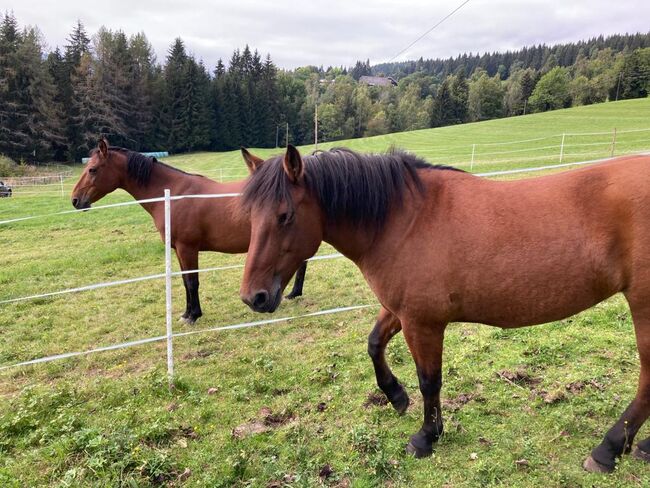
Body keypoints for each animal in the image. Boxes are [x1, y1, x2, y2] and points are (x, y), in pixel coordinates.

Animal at [69, 139, 308, 324]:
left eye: (92, 169)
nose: (75, 200)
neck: (174, 194)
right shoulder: (178, 249)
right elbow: (185, 281)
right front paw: (186, 313)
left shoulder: (188, 248)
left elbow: (193, 282)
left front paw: (193, 316)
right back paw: (293, 294)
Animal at [237, 144, 648, 472]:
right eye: (251, 217)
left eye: (285, 215)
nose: (254, 297)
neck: (404, 220)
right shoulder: (400, 312)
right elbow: (374, 344)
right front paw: (396, 396)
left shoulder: (423, 323)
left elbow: (429, 380)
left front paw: (426, 436)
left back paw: (608, 449)